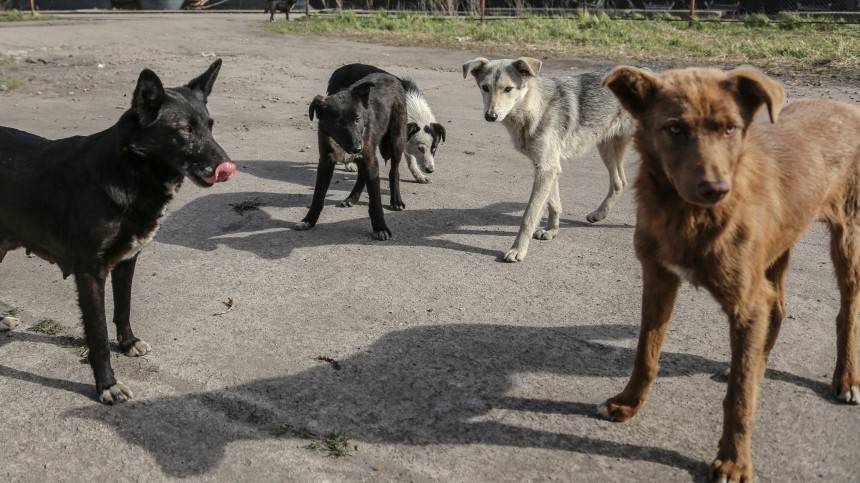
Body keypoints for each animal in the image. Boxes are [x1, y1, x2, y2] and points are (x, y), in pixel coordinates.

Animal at [0, 59, 235, 404]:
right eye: (184, 130)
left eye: (211, 125)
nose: (227, 167)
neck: (128, 172)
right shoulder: (90, 272)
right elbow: (97, 336)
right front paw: (106, 385)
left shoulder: (127, 260)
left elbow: (123, 308)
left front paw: (128, 343)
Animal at [294, 72, 408, 242]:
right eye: (338, 123)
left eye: (357, 119)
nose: (357, 148)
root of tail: (390, 75)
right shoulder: (326, 162)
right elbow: (318, 196)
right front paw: (308, 220)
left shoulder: (370, 159)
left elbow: (376, 201)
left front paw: (380, 227)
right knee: (362, 175)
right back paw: (352, 198)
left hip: (396, 140)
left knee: (394, 171)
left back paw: (396, 200)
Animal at [464, 58, 640, 262]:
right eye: (485, 87)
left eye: (508, 89)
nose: (490, 116)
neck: (534, 109)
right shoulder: (548, 167)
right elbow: (554, 205)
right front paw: (551, 231)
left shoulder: (547, 169)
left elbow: (529, 216)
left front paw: (518, 249)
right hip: (607, 147)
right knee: (620, 182)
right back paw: (598, 214)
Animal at [596, 65, 860, 483]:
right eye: (674, 128)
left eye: (731, 128)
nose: (716, 189)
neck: (688, 216)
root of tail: (848, 108)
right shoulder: (658, 280)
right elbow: (646, 353)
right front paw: (628, 402)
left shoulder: (745, 302)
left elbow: (739, 397)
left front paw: (734, 461)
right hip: (776, 248)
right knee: (778, 308)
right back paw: (760, 363)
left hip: (847, 236)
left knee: (847, 311)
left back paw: (846, 379)